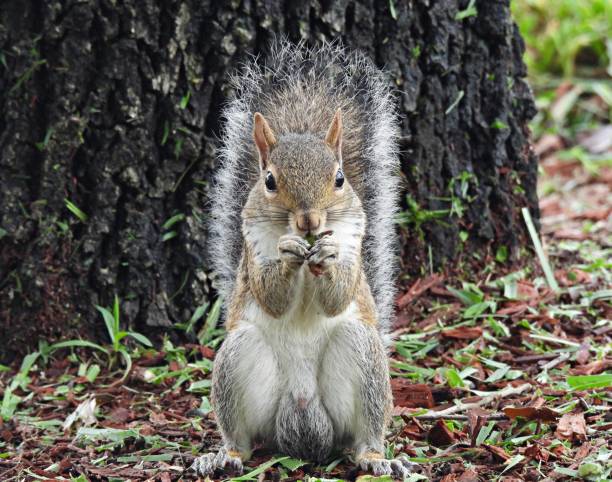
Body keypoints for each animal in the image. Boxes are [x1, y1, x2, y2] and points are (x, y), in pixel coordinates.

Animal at [191, 40, 416, 478]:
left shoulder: (352, 245)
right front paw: (288, 256)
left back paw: (376, 458)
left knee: (362, 437)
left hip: (362, 359)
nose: (309, 220)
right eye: (269, 181)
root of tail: (302, 421)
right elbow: (271, 297)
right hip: (238, 359)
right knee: (243, 439)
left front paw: (324, 256)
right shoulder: (252, 251)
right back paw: (223, 455)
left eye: (340, 178)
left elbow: (339, 295)